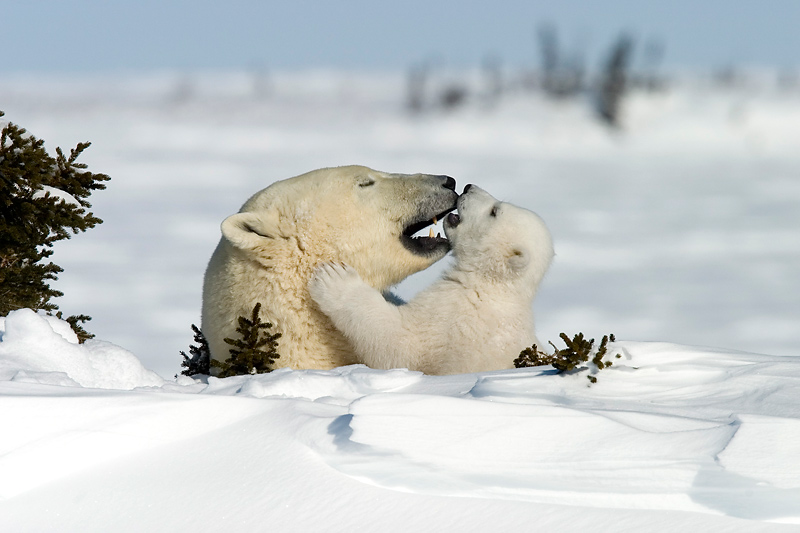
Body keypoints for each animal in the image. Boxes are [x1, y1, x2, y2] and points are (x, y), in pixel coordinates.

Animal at [310, 185, 552, 376]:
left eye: (494, 211)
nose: (468, 187)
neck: (490, 284)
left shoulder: (454, 317)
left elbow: (400, 344)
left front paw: (334, 277)